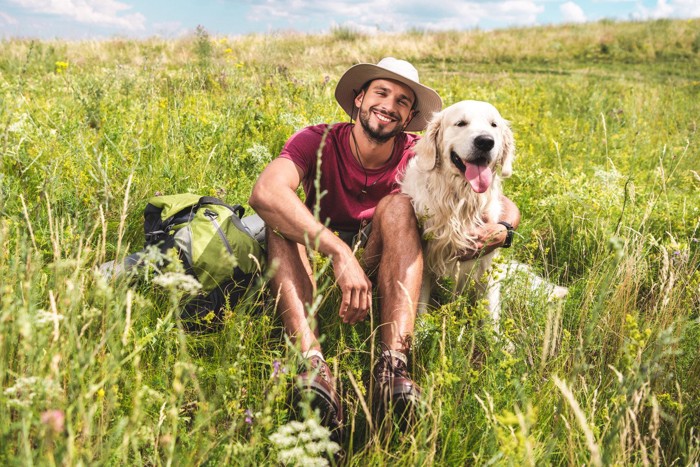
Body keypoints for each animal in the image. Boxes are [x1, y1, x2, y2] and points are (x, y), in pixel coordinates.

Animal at [400, 98, 564, 326]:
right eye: (460, 123)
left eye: (493, 125)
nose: (485, 142)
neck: (461, 200)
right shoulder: (425, 263)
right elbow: (420, 306)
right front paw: (421, 330)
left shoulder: (488, 263)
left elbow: (490, 315)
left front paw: (494, 336)